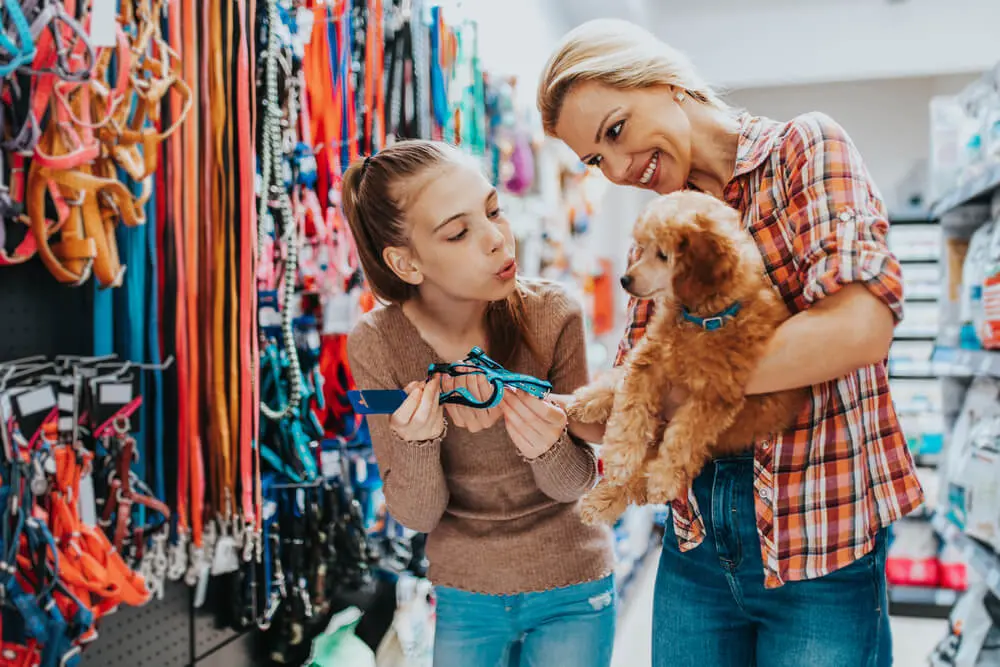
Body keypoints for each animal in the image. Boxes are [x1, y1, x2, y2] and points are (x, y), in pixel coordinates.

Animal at [572, 189, 804, 528]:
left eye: (663, 255)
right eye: (642, 248)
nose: (624, 280)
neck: (702, 318)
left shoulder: (716, 393)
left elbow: (685, 436)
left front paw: (663, 478)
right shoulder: (650, 360)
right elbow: (629, 405)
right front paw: (618, 456)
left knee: (639, 477)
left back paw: (607, 499)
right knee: (616, 380)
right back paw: (586, 404)